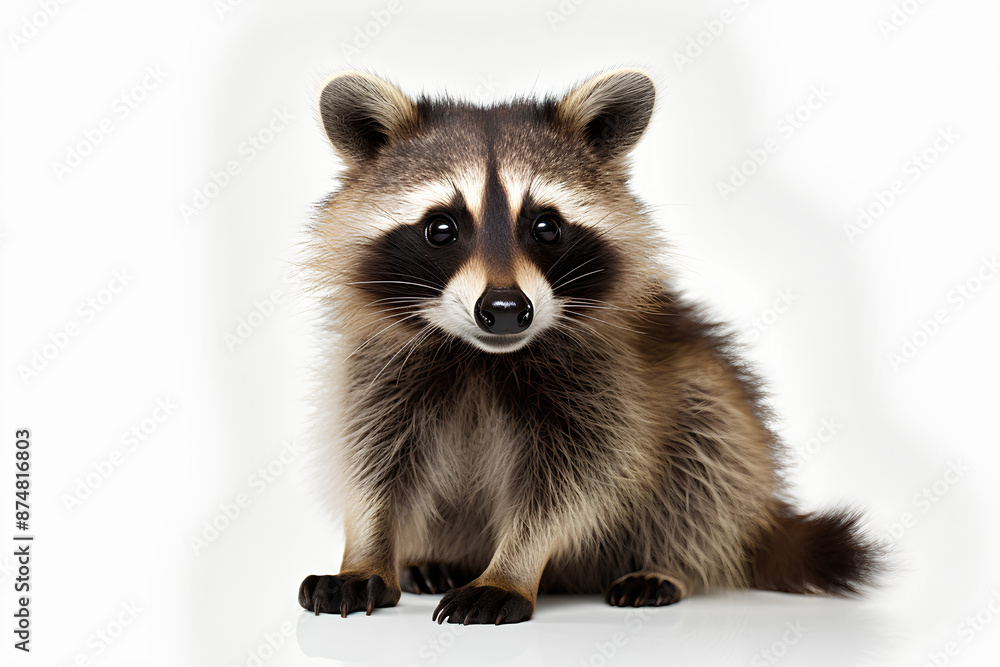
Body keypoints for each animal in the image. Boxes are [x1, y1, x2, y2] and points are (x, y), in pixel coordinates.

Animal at [297, 69, 883, 625]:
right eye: (441, 228)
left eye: (545, 227)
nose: (505, 309)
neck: (483, 357)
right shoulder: (380, 367)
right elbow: (373, 463)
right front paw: (368, 554)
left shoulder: (604, 381)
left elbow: (573, 485)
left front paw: (511, 569)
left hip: (715, 413)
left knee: (708, 453)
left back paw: (667, 563)